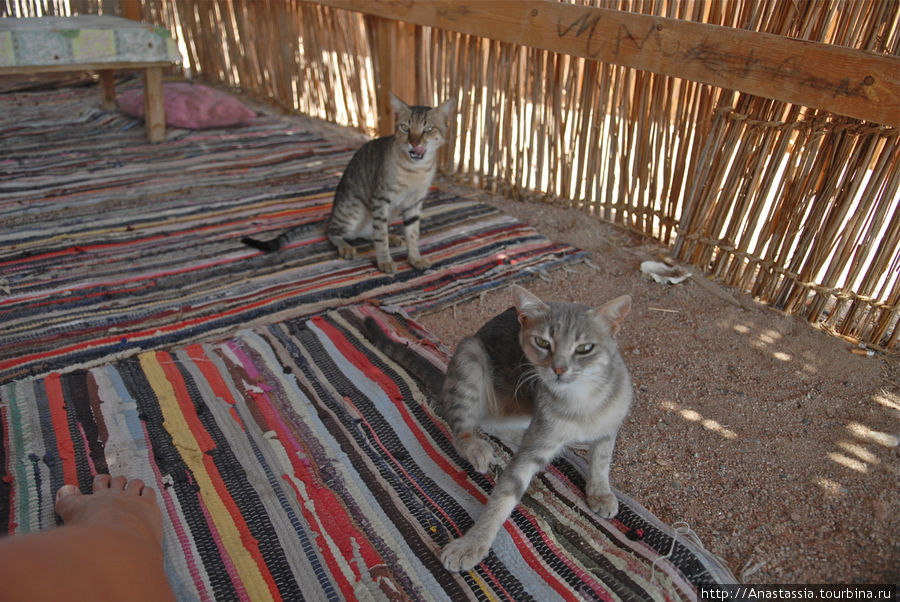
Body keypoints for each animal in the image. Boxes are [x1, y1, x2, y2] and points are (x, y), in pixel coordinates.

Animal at [241, 94, 458, 274]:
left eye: (428, 129)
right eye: (405, 127)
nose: (414, 143)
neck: (416, 170)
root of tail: (331, 214)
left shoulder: (414, 204)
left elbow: (412, 235)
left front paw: (415, 259)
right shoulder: (381, 199)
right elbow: (380, 237)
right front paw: (384, 261)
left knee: (369, 231)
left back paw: (393, 237)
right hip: (355, 209)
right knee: (335, 232)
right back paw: (346, 247)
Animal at [362, 284, 628, 568]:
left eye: (585, 348)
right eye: (543, 343)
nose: (559, 369)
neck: (582, 402)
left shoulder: (608, 427)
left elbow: (601, 461)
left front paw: (600, 492)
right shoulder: (534, 447)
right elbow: (502, 499)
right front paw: (473, 544)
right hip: (470, 359)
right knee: (465, 428)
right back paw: (476, 447)